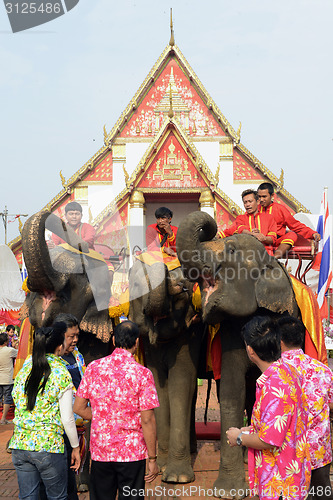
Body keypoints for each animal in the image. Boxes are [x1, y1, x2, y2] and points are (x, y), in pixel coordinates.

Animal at [128, 256, 204, 482]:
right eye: (136, 287)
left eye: (184, 287)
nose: (178, 284)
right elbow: (158, 386)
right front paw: (160, 467)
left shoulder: (192, 332)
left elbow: (181, 382)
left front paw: (176, 478)